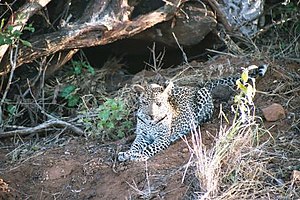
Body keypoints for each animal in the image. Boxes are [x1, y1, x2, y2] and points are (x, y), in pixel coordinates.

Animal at [118, 65, 268, 162]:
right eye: (145, 103)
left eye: (159, 104)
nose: (151, 115)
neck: (150, 122)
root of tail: (195, 87)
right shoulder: (141, 136)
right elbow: (135, 145)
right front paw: (127, 153)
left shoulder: (162, 138)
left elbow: (149, 148)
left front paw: (139, 156)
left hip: (202, 98)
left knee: (205, 116)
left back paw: (195, 124)